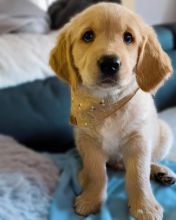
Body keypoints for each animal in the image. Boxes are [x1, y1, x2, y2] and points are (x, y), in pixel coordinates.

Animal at [49, 2, 176, 219]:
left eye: (128, 38)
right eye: (88, 36)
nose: (110, 64)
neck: (107, 102)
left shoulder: (139, 139)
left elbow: (139, 175)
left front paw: (144, 206)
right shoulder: (88, 141)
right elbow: (96, 173)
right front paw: (91, 199)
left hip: (164, 134)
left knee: (148, 162)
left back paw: (161, 172)